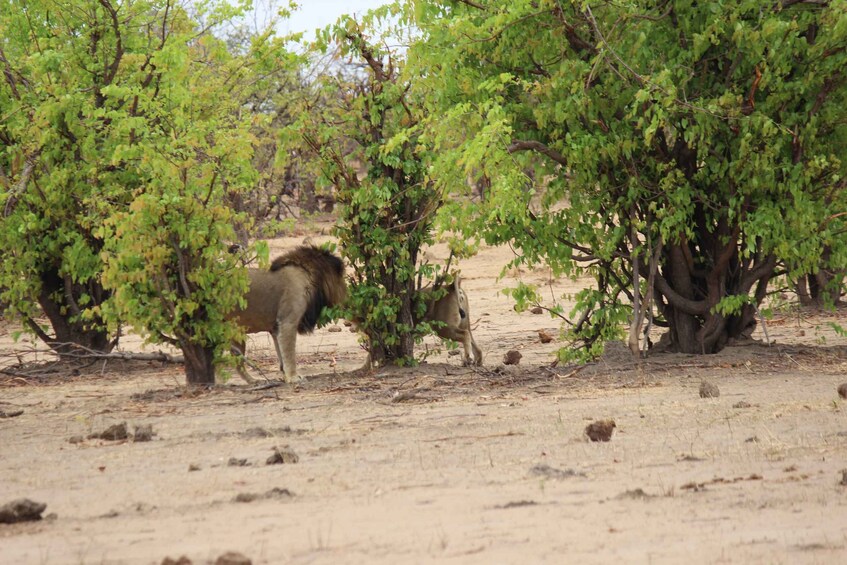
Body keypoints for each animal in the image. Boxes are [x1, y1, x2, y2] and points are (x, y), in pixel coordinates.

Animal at [230, 246, 346, 384]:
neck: (308, 275)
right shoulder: (288, 322)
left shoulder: (276, 328)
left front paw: (285, 375)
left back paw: (253, 381)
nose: (347, 293)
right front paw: (294, 377)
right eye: (342, 278)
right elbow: (289, 353)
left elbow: (281, 353)